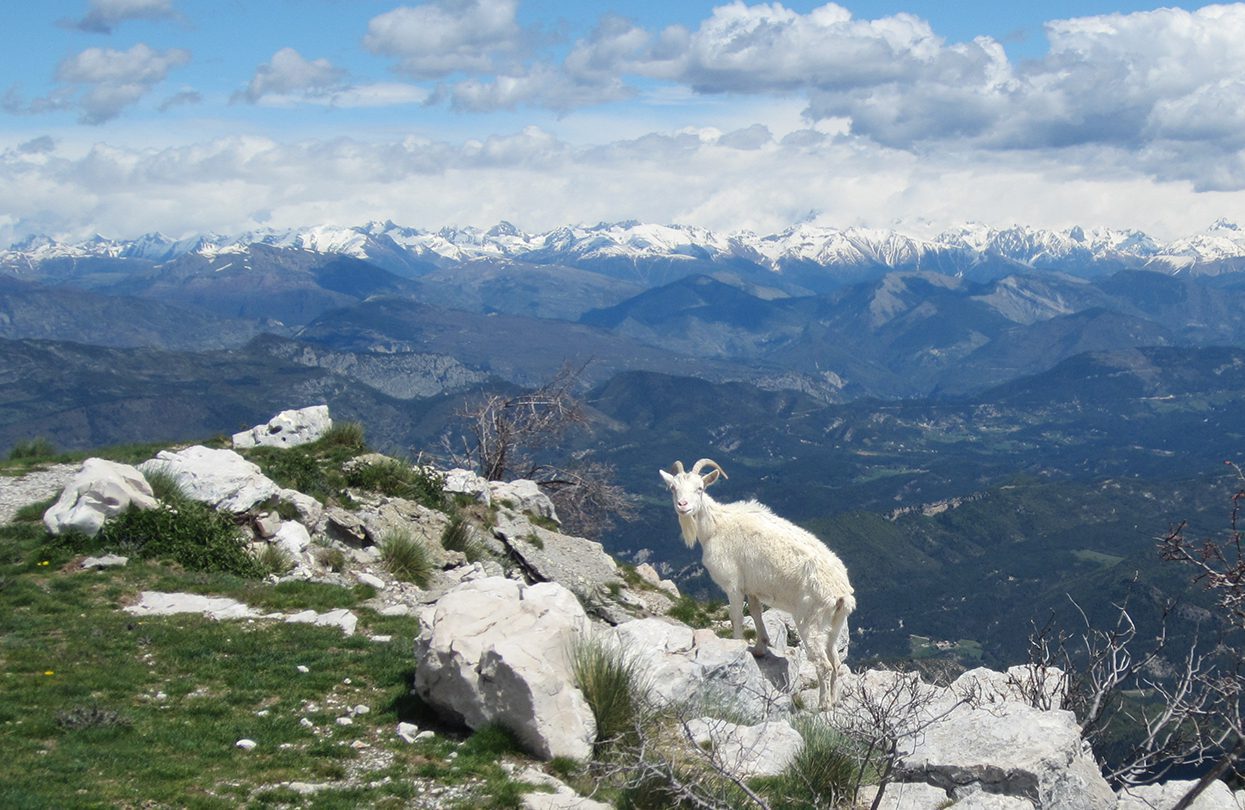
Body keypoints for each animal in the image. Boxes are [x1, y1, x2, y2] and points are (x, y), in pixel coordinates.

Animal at [662, 460, 856, 706]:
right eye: (673, 488)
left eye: (700, 488)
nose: (683, 506)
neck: (716, 525)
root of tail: (842, 594)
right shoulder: (752, 587)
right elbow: (755, 612)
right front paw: (759, 648)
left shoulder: (733, 584)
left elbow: (736, 615)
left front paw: (736, 646)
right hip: (835, 625)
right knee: (836, 662)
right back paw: (835, 700)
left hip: (810, 620)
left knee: (824, 665)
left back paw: (822, 706)